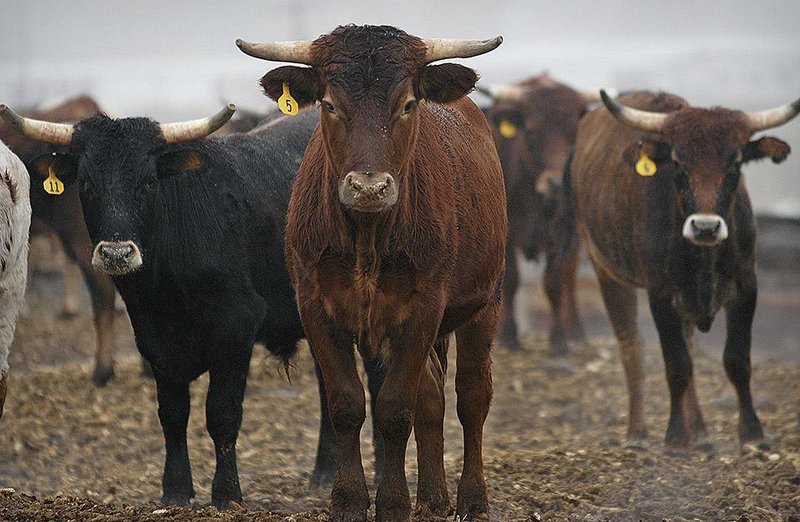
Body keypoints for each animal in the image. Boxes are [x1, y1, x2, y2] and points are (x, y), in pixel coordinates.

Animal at [236, 23, 506, 520]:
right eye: (328, 104)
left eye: (408, 104)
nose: (369, 187)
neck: (366, 236)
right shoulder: (316, 308)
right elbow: (347, 404)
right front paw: (348, 500)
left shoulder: (423, 310)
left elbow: (395, 408)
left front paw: (394, 503)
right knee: (433, 395)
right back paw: (433, 498)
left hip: (486, 303)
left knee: (472, 396)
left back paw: (472, 499)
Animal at [478, 73, 596, 354]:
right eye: (531, 131)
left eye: (573, 132)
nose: (556, 183)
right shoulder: (506, 234)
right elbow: (511, 279)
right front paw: (509, 336)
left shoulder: (559, 234)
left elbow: (554, 281)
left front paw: (559, 340)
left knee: (570, 276)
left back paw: (575, 329)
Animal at [568, 88, 800, 442]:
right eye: (678, 164)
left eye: (735, 163)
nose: (705, 227)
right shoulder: (661, 292)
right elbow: (676, 364)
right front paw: (676, 437)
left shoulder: (746, 285)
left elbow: (737, 359)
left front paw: (752, 432)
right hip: (605, 270)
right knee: (630, 345)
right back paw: (637, 432)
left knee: (687, 343)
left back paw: (701, 431)